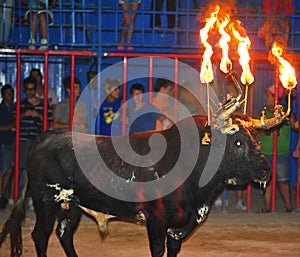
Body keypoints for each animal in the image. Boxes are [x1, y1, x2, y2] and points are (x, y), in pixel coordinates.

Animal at [0, 115, 270, 256]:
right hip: (46, 200)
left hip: (72, 205)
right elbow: (158, 249)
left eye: (257, 138)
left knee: (64, 234)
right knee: (40, 235)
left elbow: (173, 247)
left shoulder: (181, 222)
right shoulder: (156, 217)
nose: (266, 170)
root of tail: (45, 137)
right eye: (237, 142)